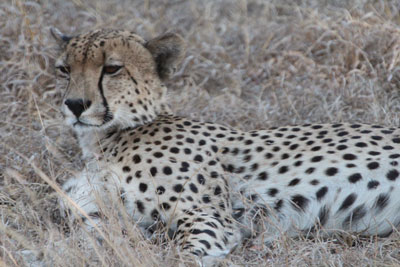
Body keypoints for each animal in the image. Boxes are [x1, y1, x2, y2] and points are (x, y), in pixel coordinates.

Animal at [51, 27, 400, 266]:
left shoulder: (211, 217)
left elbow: (182, 255)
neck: (105, 139)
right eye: (64, 70)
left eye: (112, 69)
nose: (75, 104)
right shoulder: (97, 216)